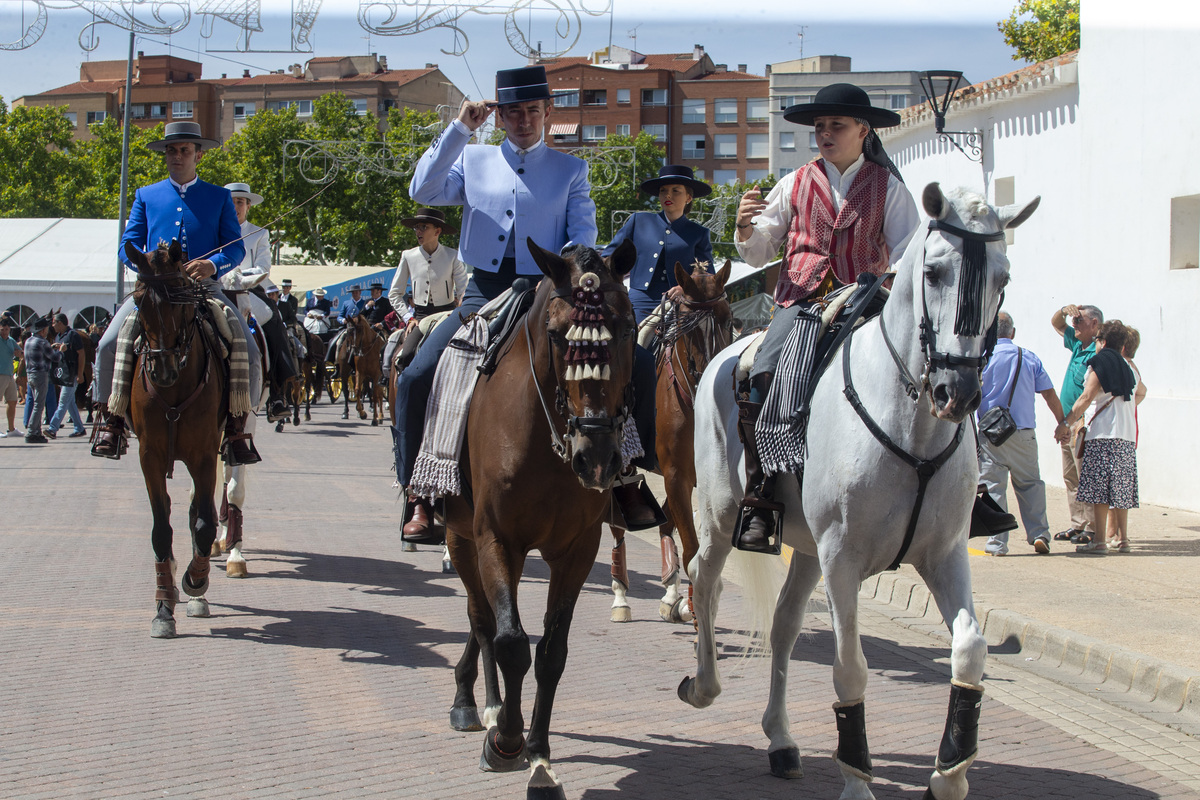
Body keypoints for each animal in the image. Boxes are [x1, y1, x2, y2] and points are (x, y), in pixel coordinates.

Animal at [124, 241, 225, 642]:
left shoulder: (204, 456)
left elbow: (205, 523)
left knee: (200, 512)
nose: (161, 370)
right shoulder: (148, 456)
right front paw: (164, 607)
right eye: (139, 299)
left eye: (181, 297)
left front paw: (195, 582)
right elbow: (160, 529)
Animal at [446, 239, 638, 800]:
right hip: (459, 536)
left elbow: (552, 652)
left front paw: (539, 755)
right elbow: (511, 642)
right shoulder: (496, 539)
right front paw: (507, 742)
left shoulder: (578, 551)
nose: (596, 457)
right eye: (556, 335)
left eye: (627, 326)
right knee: (482, 617)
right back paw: (481, 705)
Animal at [609, 262, 729, 623]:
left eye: (728, 317)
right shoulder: (677, 476)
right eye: (687, 327)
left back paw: (671, 593)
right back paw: (621, 597)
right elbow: (692, 550)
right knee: (618, 526)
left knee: (664, 524)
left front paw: (686, 602)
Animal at [681, 184, 1036, 800]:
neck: (912, 424)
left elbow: (969, 651)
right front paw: (856, 779)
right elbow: (850, 666)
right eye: (934, 272)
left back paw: (781, 740)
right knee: (705, 582)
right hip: (723, 518)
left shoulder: (943, 555)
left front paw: (950, 772)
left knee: (784, 625)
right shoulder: (842, 559)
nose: (959, 391)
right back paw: (703, 685)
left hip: (804, 548)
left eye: (1004, 276)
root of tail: (725, 357)